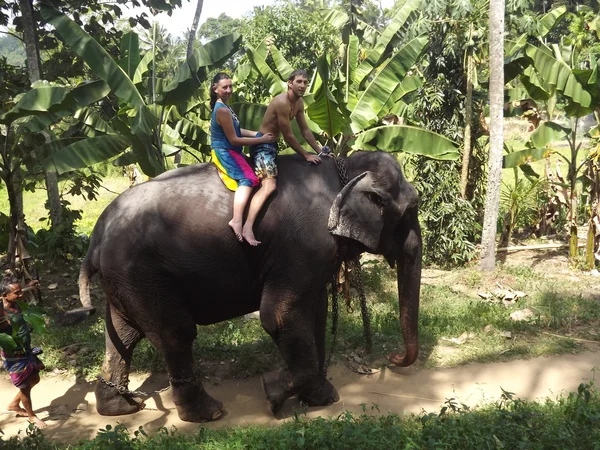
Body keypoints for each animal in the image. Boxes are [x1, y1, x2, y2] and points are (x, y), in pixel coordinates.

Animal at [77, 150, 422, 422]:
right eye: (411, 210)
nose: (392, 358)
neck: (344, 168)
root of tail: (95, 240)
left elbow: (317, 312)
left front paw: (321, 398)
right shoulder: (303, 246)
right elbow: (279, 316)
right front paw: (272, 394)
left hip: (125, 279)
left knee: (122, 334)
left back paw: (120, 408)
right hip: (141, 273)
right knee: (175, 333)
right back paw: (209, 413)